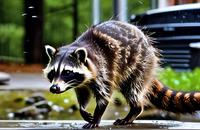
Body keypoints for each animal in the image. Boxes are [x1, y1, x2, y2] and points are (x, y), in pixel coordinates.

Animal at [43, 20, 200, 128]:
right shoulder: (81, 83)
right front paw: (83, 110)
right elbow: (83, 95)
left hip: (140, 65)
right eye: (52, 73)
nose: (54, 88)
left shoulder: (104, 69)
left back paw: (134, 110)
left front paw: (97, 116)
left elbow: (104, 95)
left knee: (133, 89)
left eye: (67, 72)